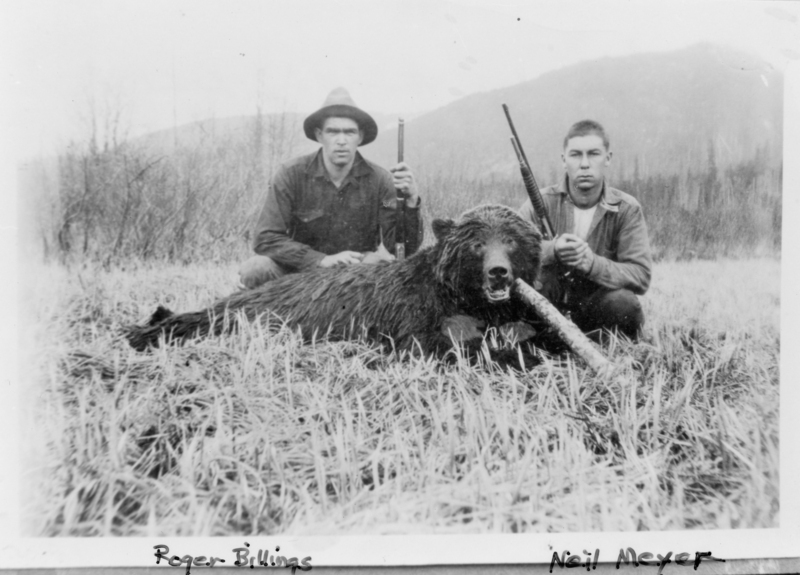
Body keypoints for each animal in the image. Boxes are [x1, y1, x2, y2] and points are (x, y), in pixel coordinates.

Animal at [126, 204, 544, 368]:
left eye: (510, 241)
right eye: (477, 244)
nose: (498, 273)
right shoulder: (411, 327)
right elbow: (444, 347)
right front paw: (512, 355)